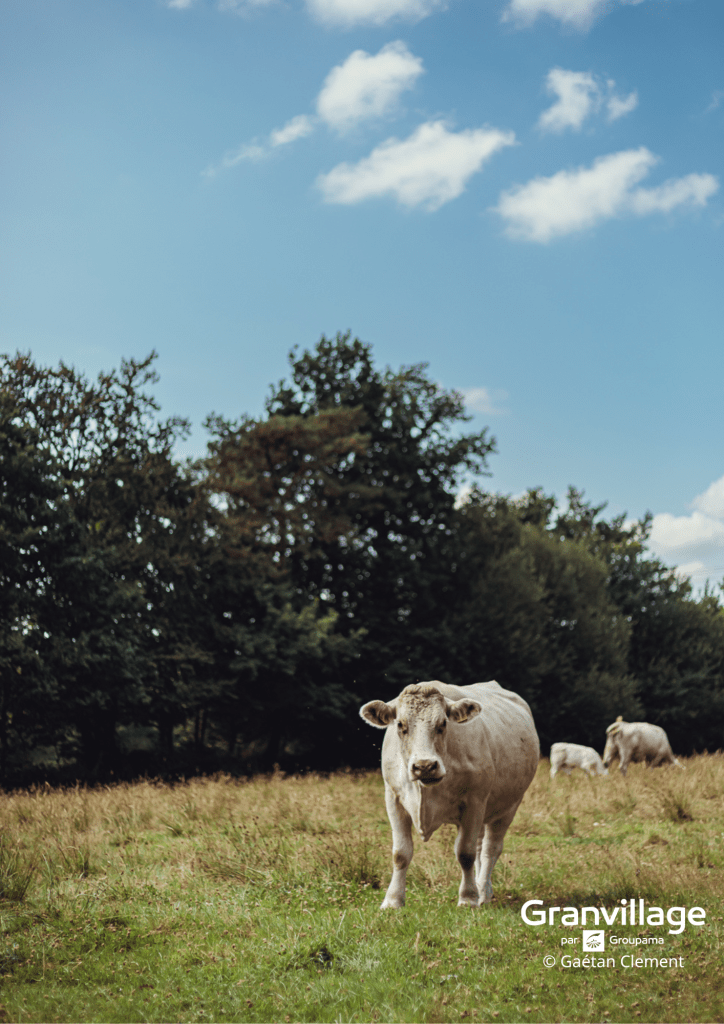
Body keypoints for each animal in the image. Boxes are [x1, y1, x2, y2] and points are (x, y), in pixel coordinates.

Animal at [359, 680, 539, 909]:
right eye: (400, 724)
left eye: (443, 723)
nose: (425, 766)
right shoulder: (393, 799)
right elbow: (400, 853)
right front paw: (393, 900)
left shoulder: (474, 801)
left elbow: (465, 853)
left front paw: (468, 898)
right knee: (480, 847)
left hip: (508, 806)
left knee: (490, 849)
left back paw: (483, 891)